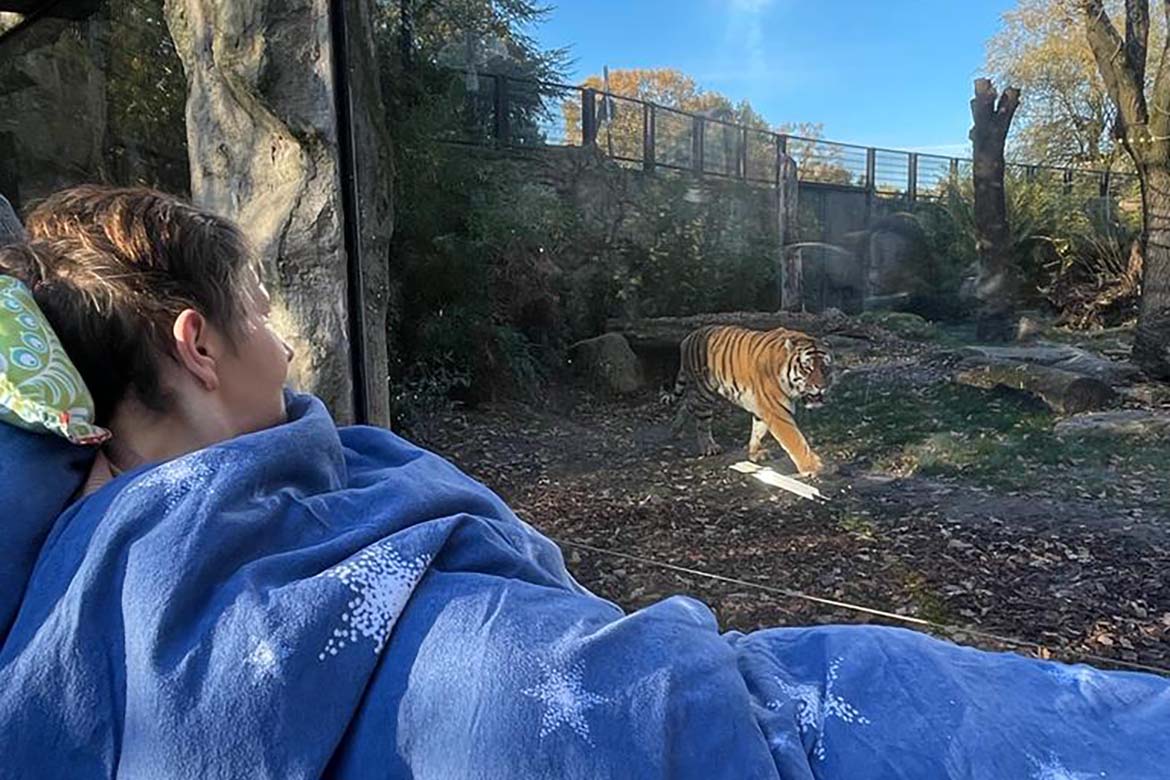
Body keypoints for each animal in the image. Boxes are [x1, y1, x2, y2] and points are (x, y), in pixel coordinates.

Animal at [669, 322, 833, 477]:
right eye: (806, 368)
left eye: (824, 368)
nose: (821, 386)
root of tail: (689, 337)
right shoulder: (777, 409)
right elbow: (795, 440)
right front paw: (812, 467)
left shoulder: (763, 407)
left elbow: (758, 430)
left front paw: (755, 453)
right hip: (704, 393)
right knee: (702, 422)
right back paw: (709, 447)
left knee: (687, 404)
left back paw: (676, 429)